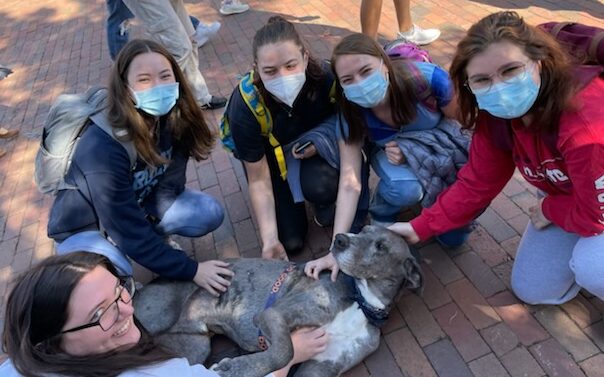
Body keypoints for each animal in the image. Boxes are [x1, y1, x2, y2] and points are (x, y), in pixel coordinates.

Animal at [134, 225, 422, 374]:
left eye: (381, 246)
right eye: (362, 229)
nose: (339, 238)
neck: (361, 302)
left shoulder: (321, 368)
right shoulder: (274, 314)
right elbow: (285, 352)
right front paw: (239, 369)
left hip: (191, 349)